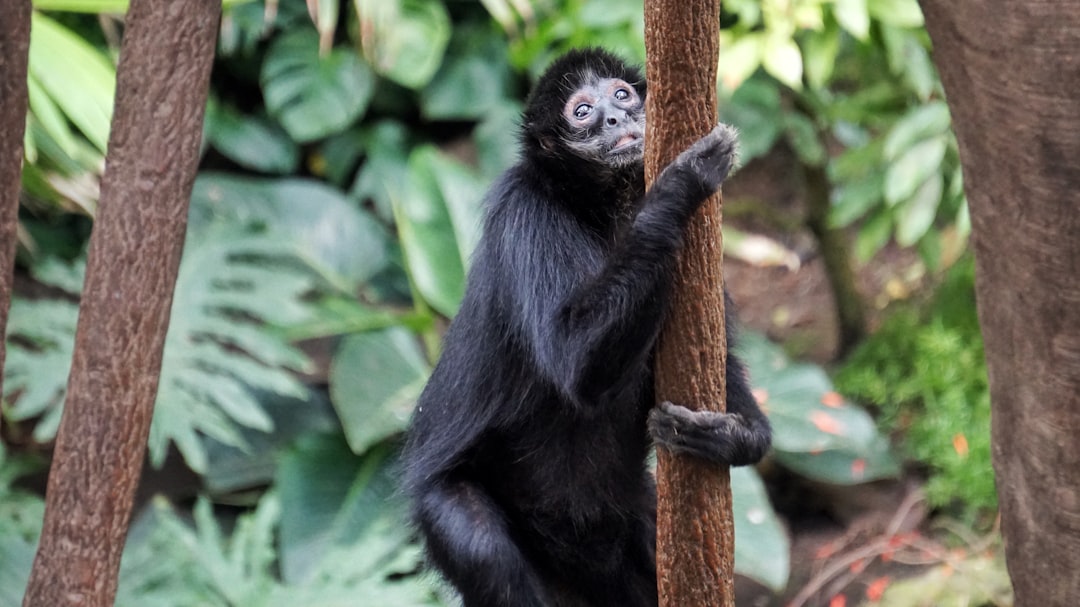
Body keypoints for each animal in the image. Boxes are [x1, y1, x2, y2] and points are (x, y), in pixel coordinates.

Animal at [403, 48, 768, 604]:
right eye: (582, 112)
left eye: (620, 94)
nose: (616, 118)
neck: (607, 207)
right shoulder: (527, 212)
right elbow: (576, 364)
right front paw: (680, 184)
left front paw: (730, 436)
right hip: (447, 500)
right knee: (483, 547)